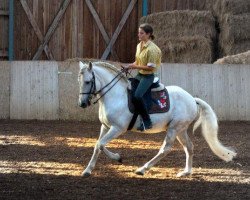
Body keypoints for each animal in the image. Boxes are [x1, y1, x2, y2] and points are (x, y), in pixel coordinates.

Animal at [78, 60, 236, 177]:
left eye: (88, 81)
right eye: (79, 81)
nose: (82, 104)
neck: (115, 95)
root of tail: (192, 98)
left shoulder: (117, 128)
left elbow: (100, 144)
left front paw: (116, 158)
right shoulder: (105, 126)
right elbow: (98, 145)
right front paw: (88, 170)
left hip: (174, 128)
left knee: (165, 149)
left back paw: (143, 169)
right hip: (181, 130)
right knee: (189, 147)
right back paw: (186, 172)